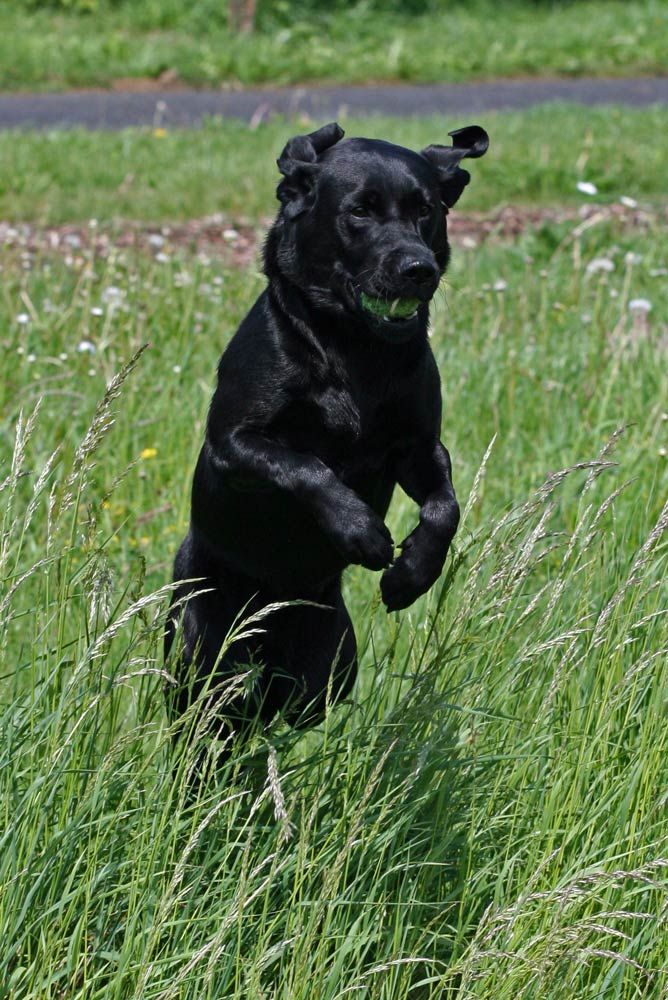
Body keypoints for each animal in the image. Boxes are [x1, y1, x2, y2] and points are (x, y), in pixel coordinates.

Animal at [164, 119, 488, 752]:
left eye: (427, 211)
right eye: (359, 211)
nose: (419, 268)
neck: (354, 350)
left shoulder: (419, 447)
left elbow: (445, 507)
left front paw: (411, 574)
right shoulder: (234, 445)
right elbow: (306, 467)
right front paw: (362, 532)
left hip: (327, 671)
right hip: (197, 665)